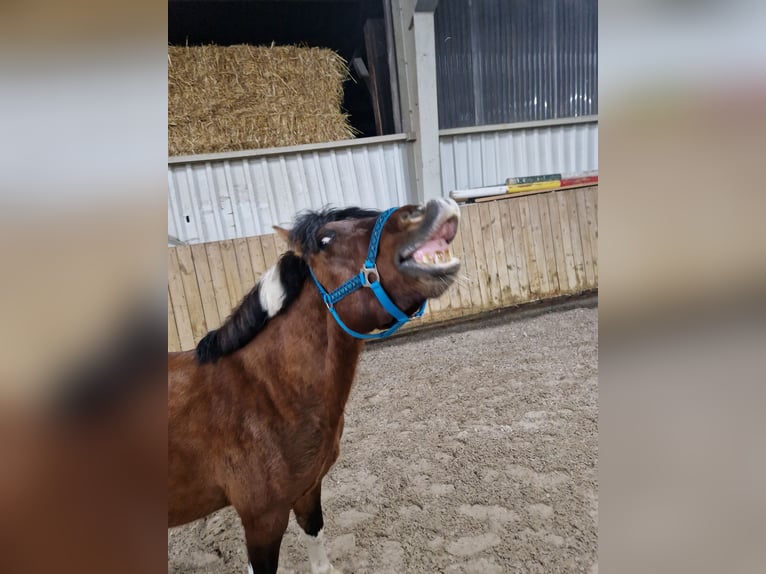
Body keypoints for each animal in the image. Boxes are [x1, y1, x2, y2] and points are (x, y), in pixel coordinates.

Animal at [168, 199, 462, 574]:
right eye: (325, 239)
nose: (428, 210)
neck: (264, 393)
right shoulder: (262, 520)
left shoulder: (309, 489)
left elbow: (316, 539)